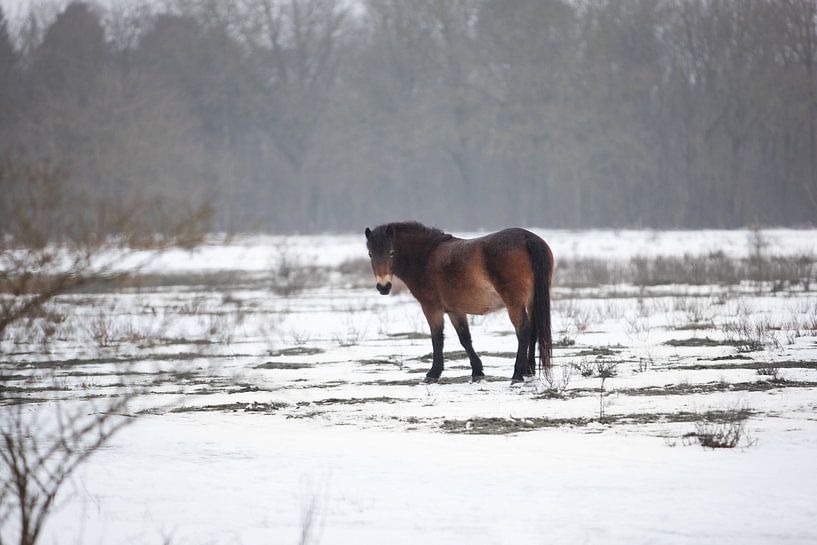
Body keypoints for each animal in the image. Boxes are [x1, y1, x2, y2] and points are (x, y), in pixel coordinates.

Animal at [364, 221, 554, 384]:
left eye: (391, 253)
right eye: (371, 254)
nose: (383, 287)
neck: (425, 256)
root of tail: (527, 238)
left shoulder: (431, 308)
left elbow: (437, 338)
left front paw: (433, 373)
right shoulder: (455, 310)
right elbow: (465, 339)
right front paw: (477, 372)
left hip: (514, 303)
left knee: (523, 331)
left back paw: (517, 375)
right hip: (531, 301)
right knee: (533, 330)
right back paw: (529, 371)